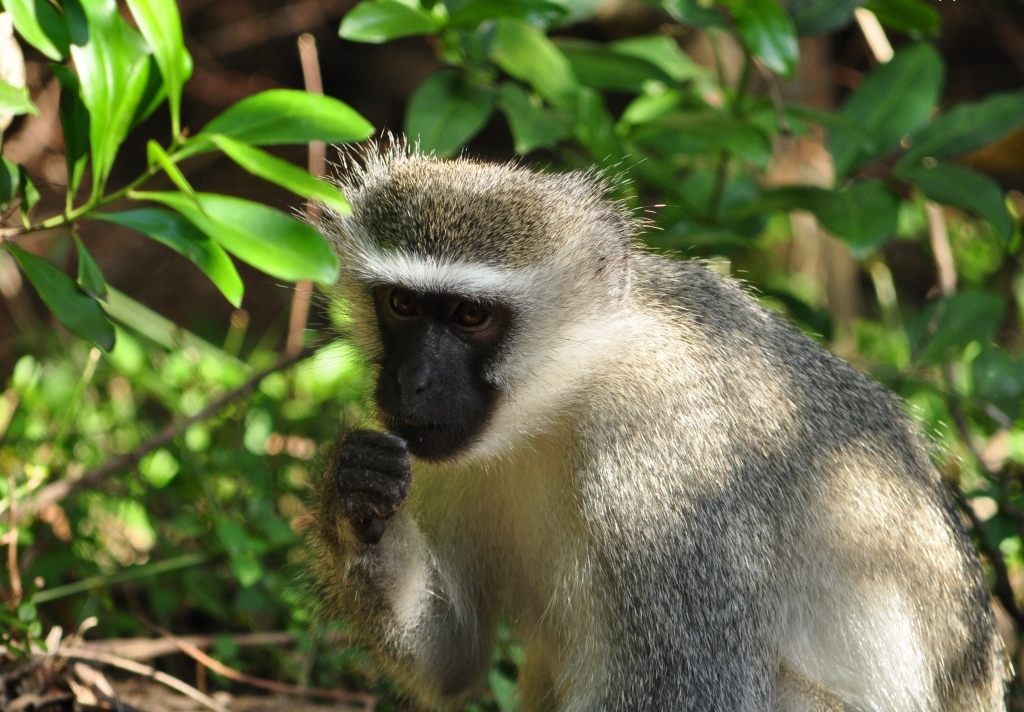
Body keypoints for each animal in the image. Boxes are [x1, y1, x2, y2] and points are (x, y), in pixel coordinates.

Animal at [309, 146, 1007, 712]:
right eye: (402, 304)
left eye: (470, 316)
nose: (412, 382)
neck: (564, 396)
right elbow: (455, 658)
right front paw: (355, 498)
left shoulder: (664, 476)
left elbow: (696, 690)